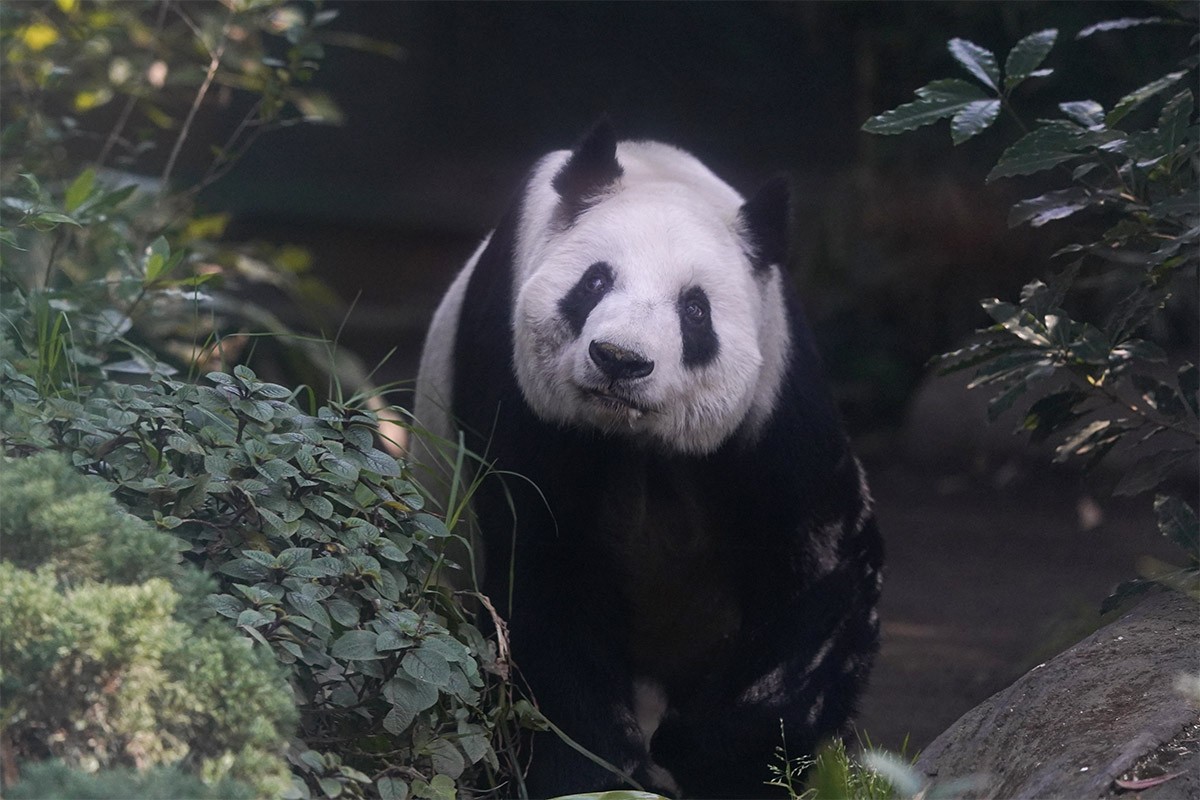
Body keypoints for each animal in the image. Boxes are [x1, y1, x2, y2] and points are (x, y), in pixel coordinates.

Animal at [413, 120, 882, 799]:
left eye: (695, 309)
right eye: (594, 282)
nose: (621, 359)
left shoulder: (775, 392)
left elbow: (820, 557)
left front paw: (725, 759)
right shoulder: (513, 380)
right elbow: (545, 568)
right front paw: (599, 772)